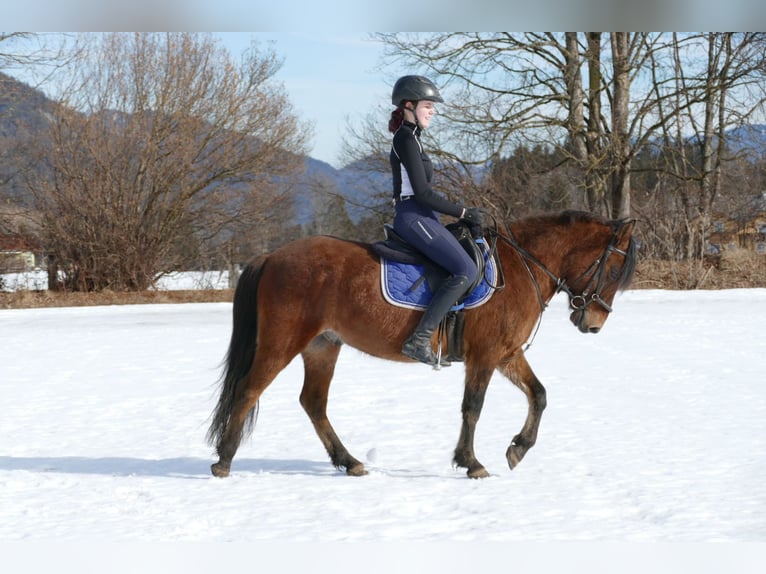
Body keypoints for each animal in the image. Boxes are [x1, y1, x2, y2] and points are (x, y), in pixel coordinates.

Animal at [207, 212, 640, 482]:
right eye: (613, 270)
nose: (594, 323)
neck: (522, 266)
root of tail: (271, 255)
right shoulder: (484, 356)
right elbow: (473, 408)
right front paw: (471, 463)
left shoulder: (506, 354)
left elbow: (540, 394)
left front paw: (518, 448)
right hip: (282, 341)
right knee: (248, 390)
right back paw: (224, 460)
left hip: (322, 346)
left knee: (313, 402)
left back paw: (349, 462)